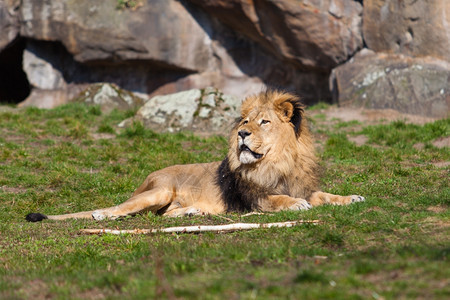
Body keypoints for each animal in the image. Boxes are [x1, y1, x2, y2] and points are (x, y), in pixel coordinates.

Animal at [25, 90, 366, 221]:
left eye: (264, 122)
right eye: (244, 122)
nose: (242, 135)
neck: (278, 161)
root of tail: (147, 177)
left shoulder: (305, 185)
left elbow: (326, 195)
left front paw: (352, 197)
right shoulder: (254, 198)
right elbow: (278, 199)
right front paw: (295, 204)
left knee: (164, 216)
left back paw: (193, 212)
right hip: (159, 191)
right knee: (122, 207)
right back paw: (101, 215)